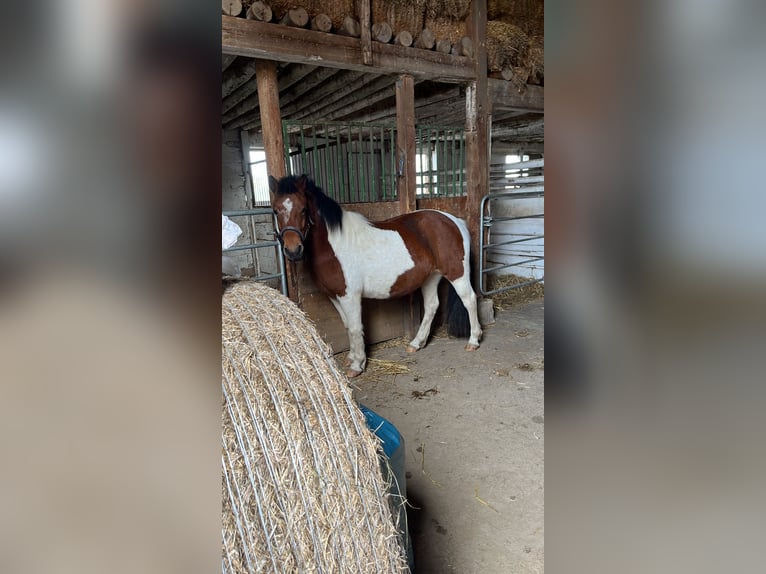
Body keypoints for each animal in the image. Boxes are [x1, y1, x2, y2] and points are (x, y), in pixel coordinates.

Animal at [272, 172, 484, 378]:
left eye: (303, 209)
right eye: (275, 210)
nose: (293, 250)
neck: (334, 245)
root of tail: (455, 221)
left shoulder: (350, 296)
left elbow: (356, 328)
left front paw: (357, 365)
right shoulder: (335, 296)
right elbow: (348, 326)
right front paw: (351, 358)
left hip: (457, 273)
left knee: (469, 299)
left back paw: (473, 341)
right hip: (431, 277)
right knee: (432, 306)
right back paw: (416, 344)